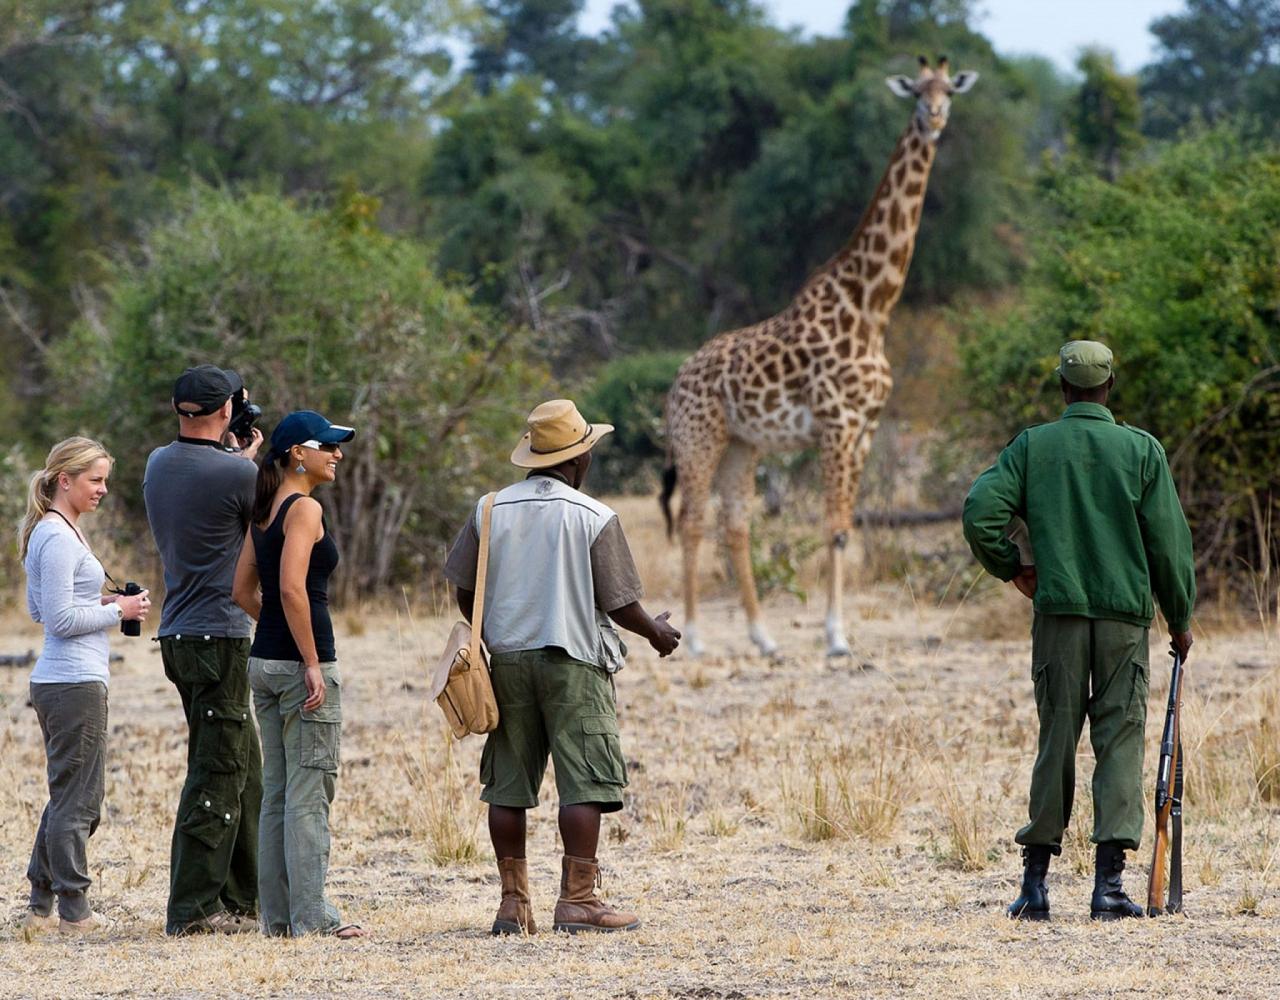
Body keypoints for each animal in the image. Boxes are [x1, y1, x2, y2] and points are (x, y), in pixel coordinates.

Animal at [665, 58, 972, 660]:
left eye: (949, 90)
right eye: (915, 92)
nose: (934, 118)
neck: (872, 306)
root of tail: (676, 382)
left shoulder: (866, 427)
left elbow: (845, 527)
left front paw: (835, 632)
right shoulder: (837, 422)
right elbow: (833, 526)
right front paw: (836, 637)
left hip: (741, 445)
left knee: (735, 524)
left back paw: (763, 638)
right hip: (699, 438)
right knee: (691, 520)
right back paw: (694, 638)